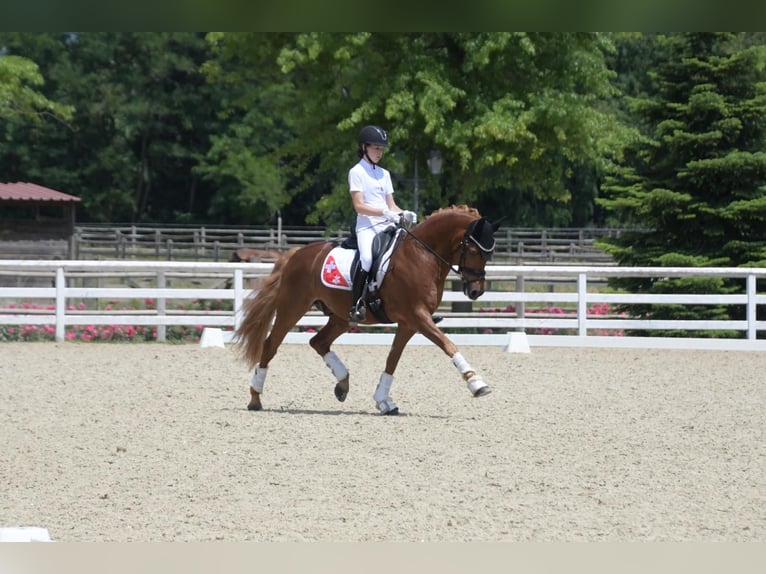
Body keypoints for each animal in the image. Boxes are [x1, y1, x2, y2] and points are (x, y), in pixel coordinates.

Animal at [237, 205, 500, 416]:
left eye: (490, 253)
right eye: (474, 251)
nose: (476, 291)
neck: (422, 256)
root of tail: (295, 253)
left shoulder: (409, 323)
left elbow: (392, 359)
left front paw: (384, 401)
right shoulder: (418, 316)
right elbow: (448, 345)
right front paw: (477, 383)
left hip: (341, 317)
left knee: (319, 342)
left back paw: (342, 384)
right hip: (292, 307)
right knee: (270, 345)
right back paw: (255, 398)